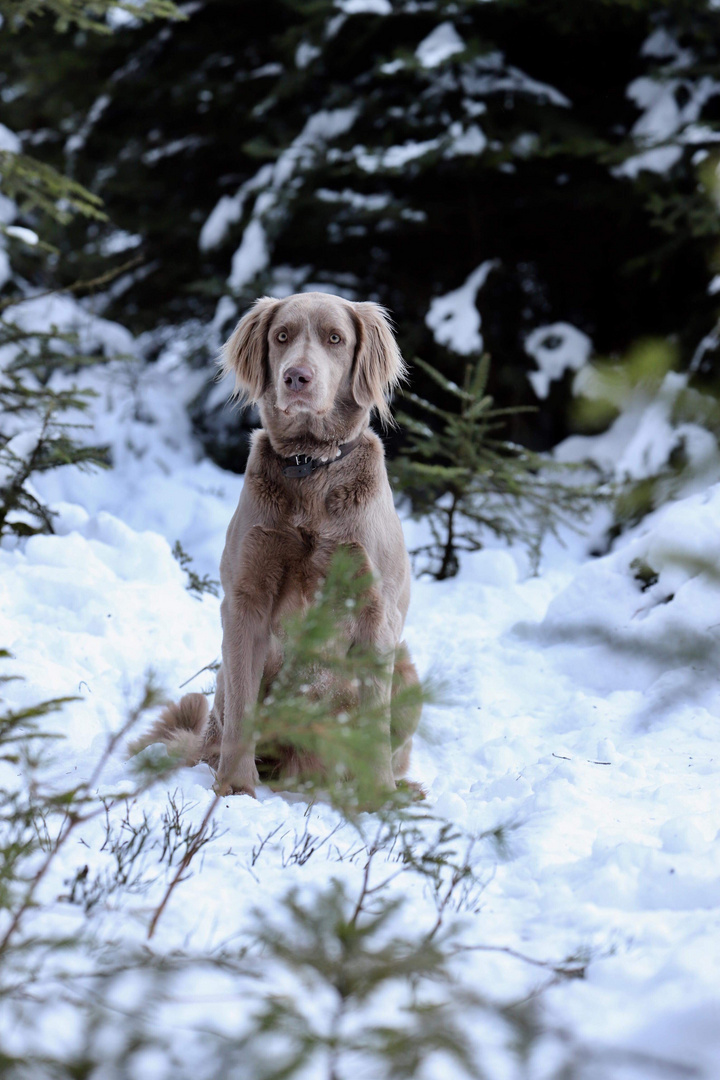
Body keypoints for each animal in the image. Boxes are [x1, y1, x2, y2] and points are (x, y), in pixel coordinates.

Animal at [140, 291, 418, 799]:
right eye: (282, 336)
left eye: (335, 338)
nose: (296, 377)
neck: (310, 467)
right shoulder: (245, 597)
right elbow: (243, 709)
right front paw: (235, 788)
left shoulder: (376, 609)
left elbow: (372, 720)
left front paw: (379, 800)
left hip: (406, 667)